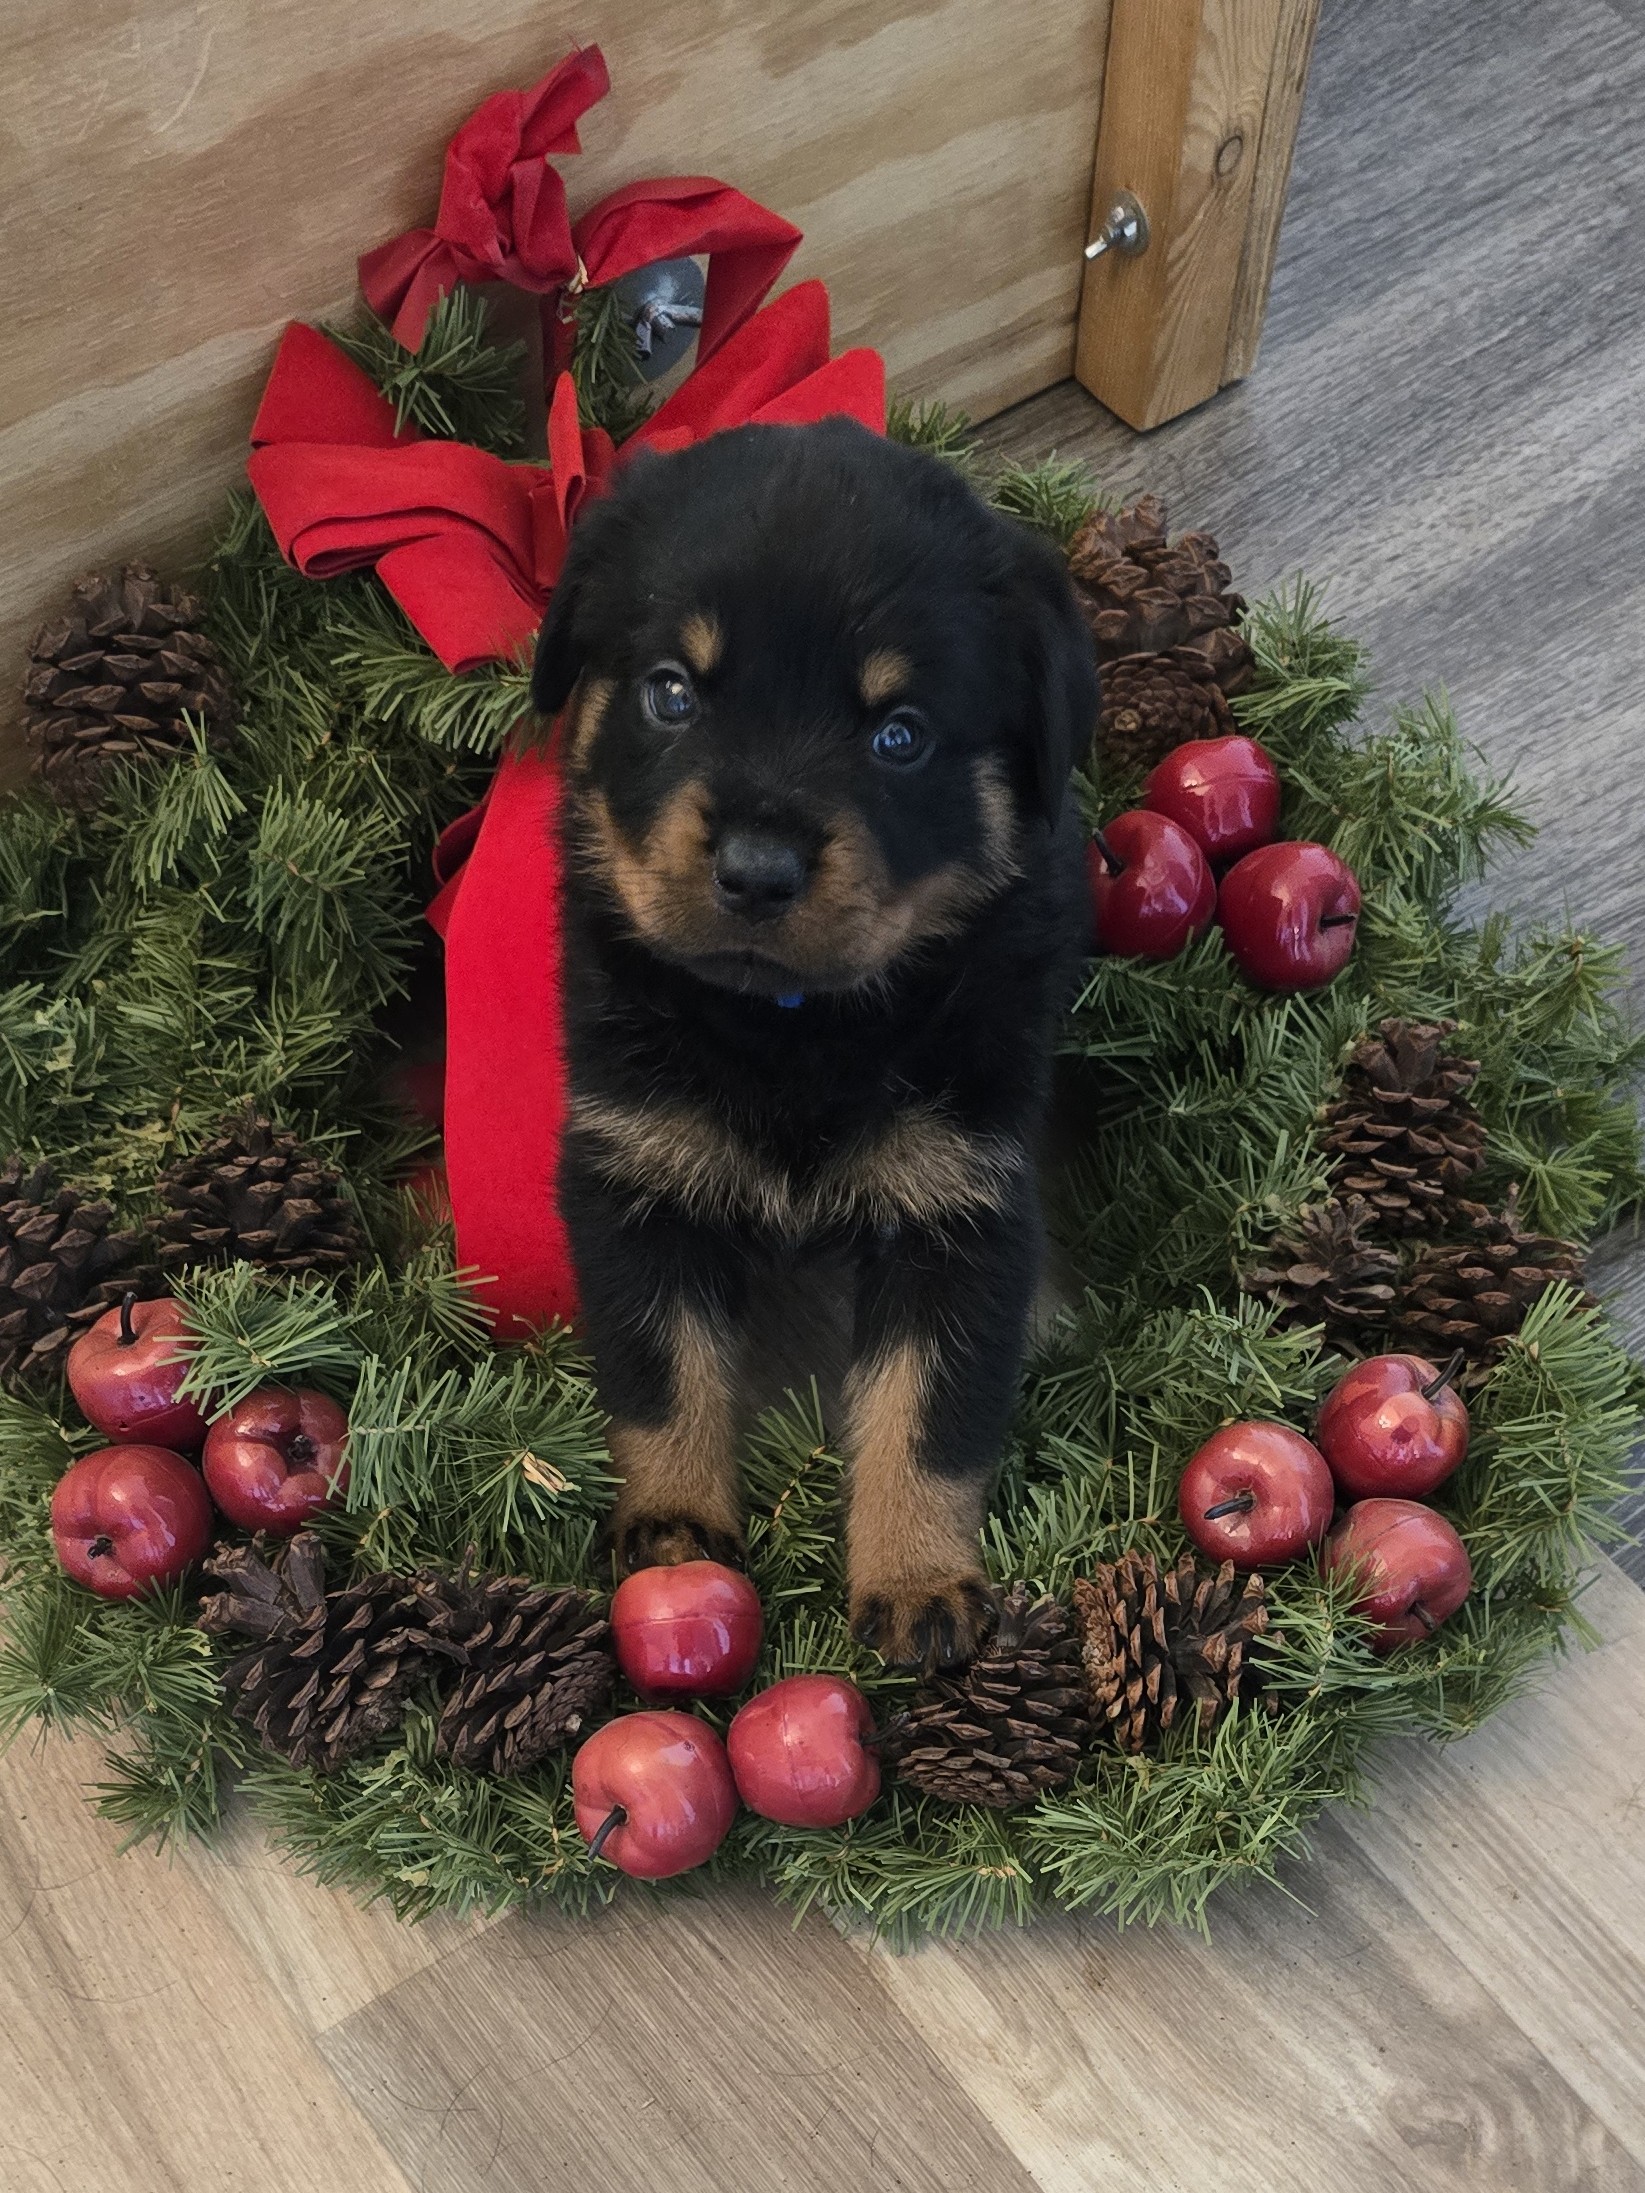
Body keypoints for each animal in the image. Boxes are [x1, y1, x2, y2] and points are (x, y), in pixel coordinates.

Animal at [535, 418, 1096, 1666]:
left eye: (899, 735)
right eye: (670, 693)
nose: (756, 869)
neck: (789, 1031)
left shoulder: (959, 1206)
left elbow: (925, 1412)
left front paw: (918, 1580)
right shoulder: (634, 1172)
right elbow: (664, 1375)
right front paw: (674, 1533)